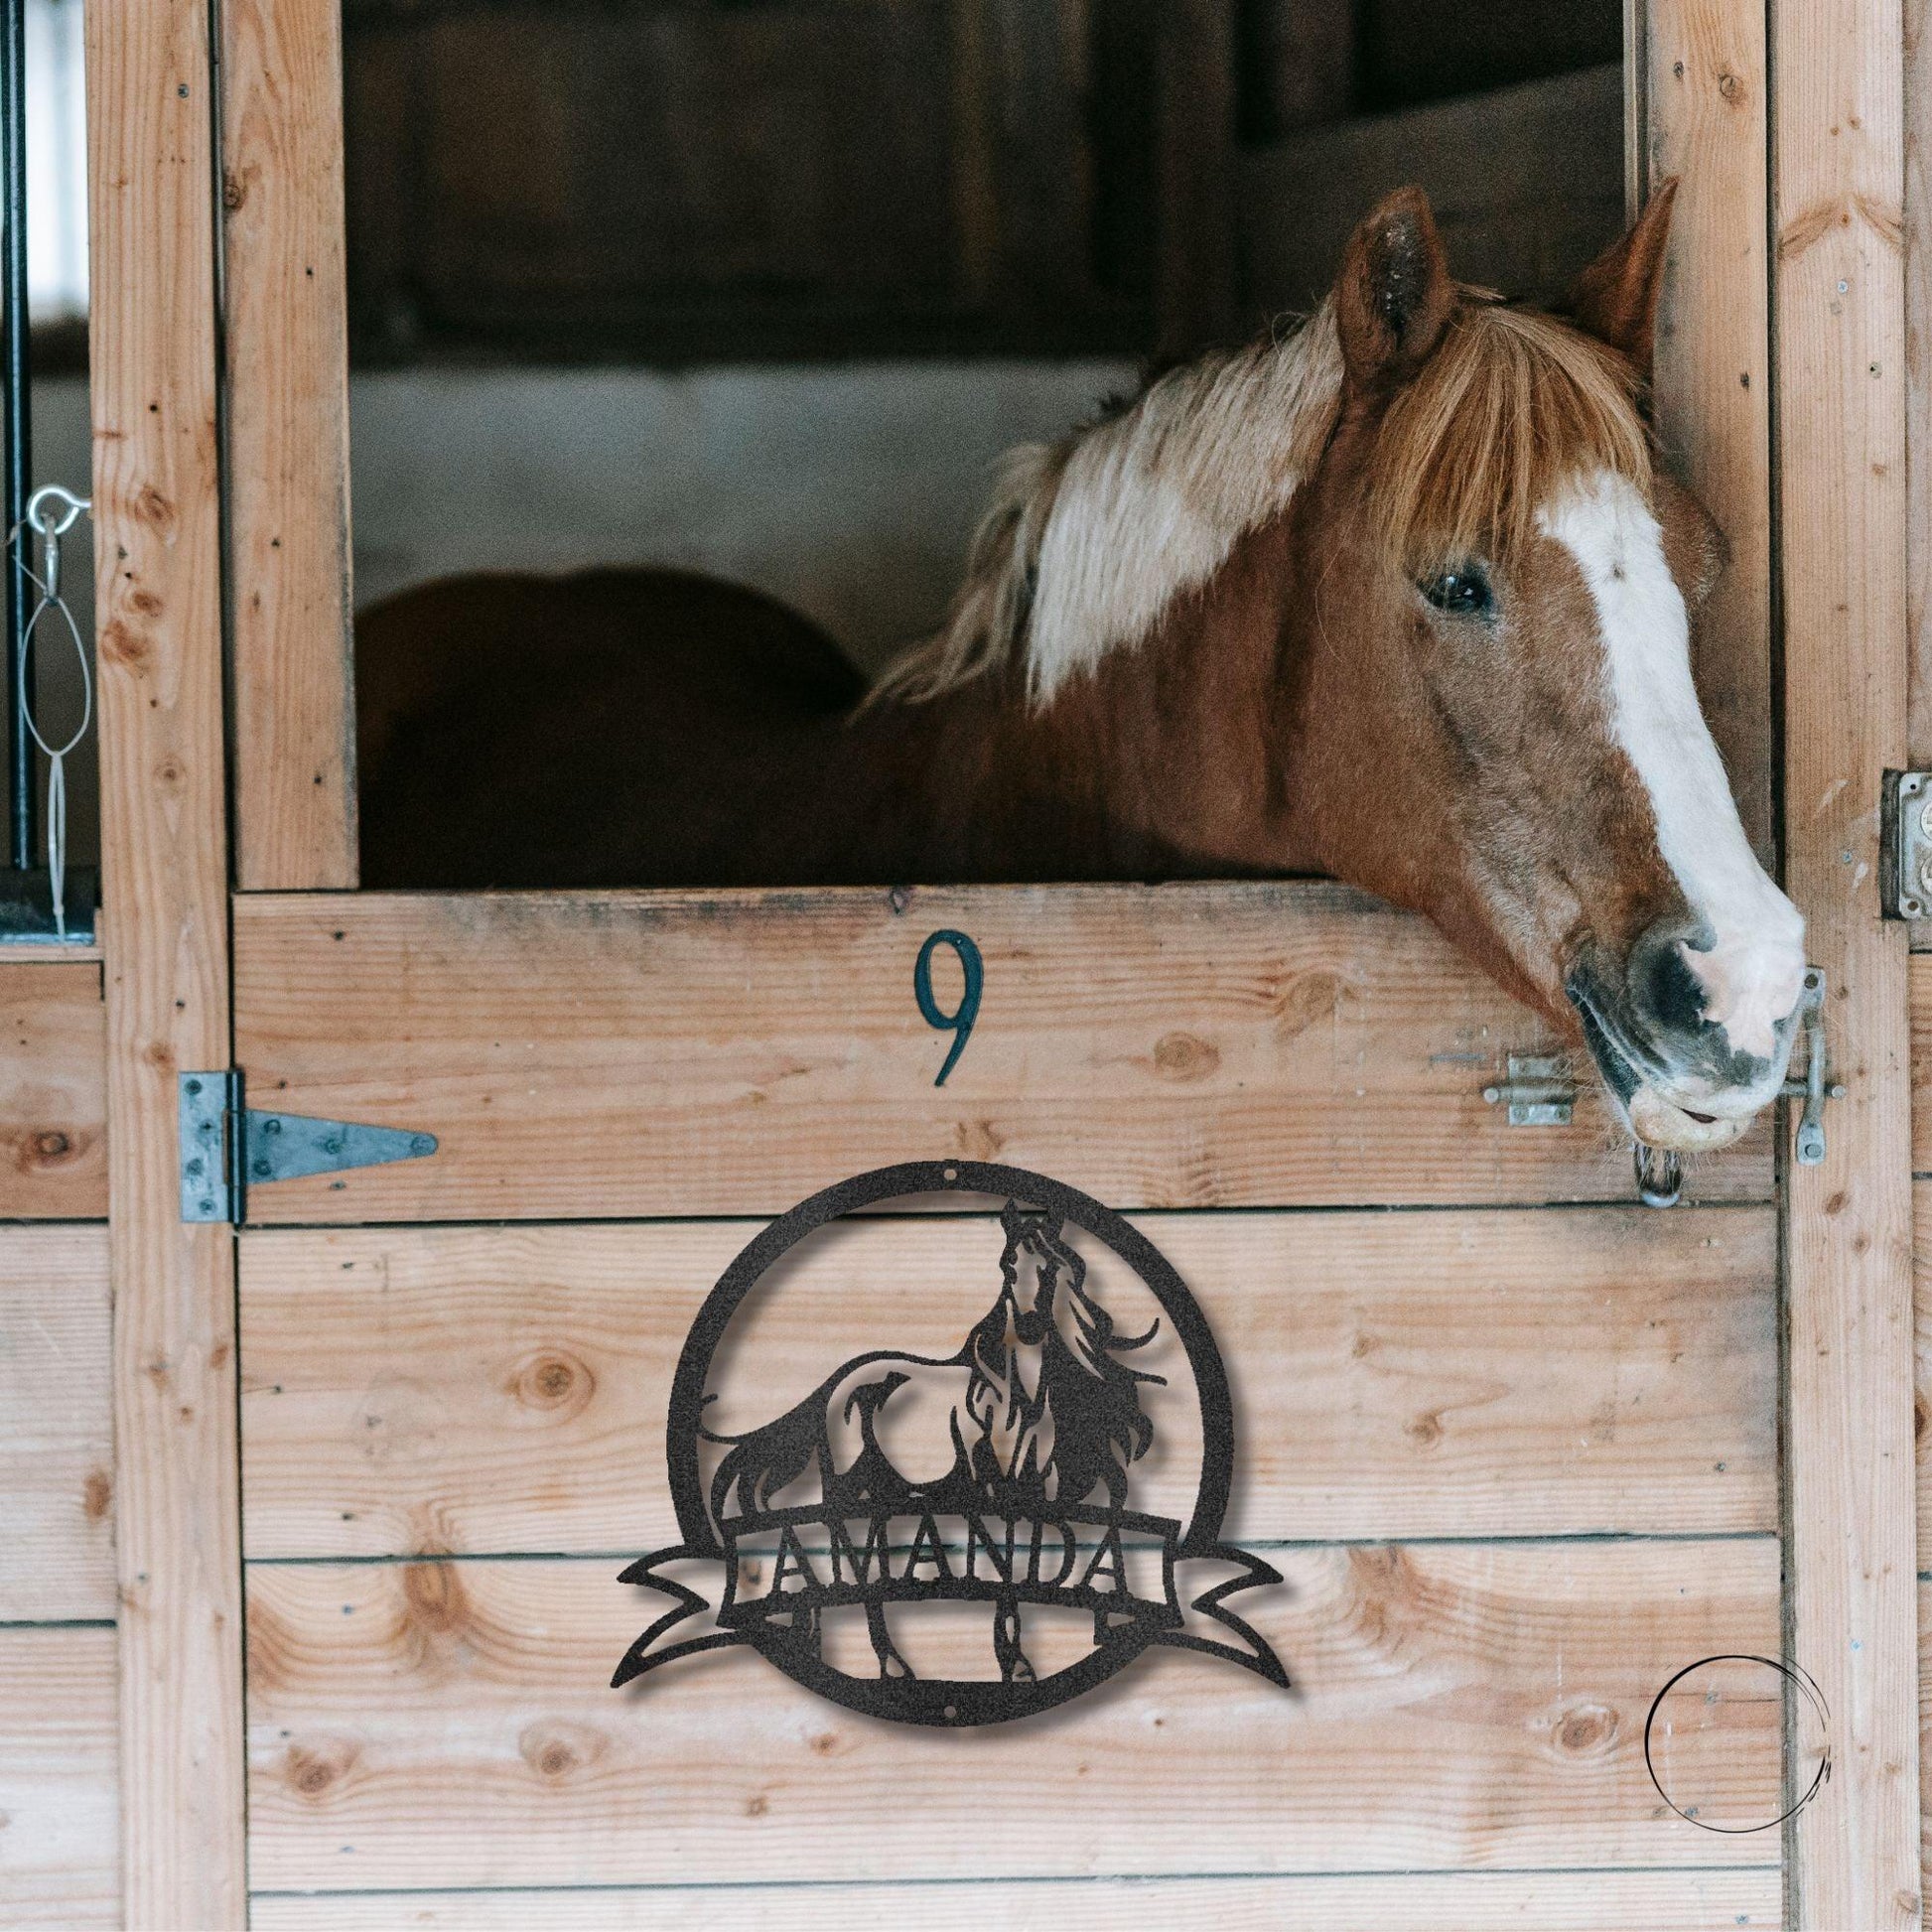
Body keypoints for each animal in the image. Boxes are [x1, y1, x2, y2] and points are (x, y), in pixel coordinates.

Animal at [706, 1201, 1161, 1684]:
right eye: (1008, 1264)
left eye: (1059, 1266)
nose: (1030, 1328)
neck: (1015, 1394)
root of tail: (836, 1384)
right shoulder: (987, 1481)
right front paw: (1013, 1663)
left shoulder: (1032, 1483)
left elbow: (1018, 1563)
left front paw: (1017, 1665)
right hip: (848, 1483)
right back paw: (888, 1664)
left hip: (887, 1485)